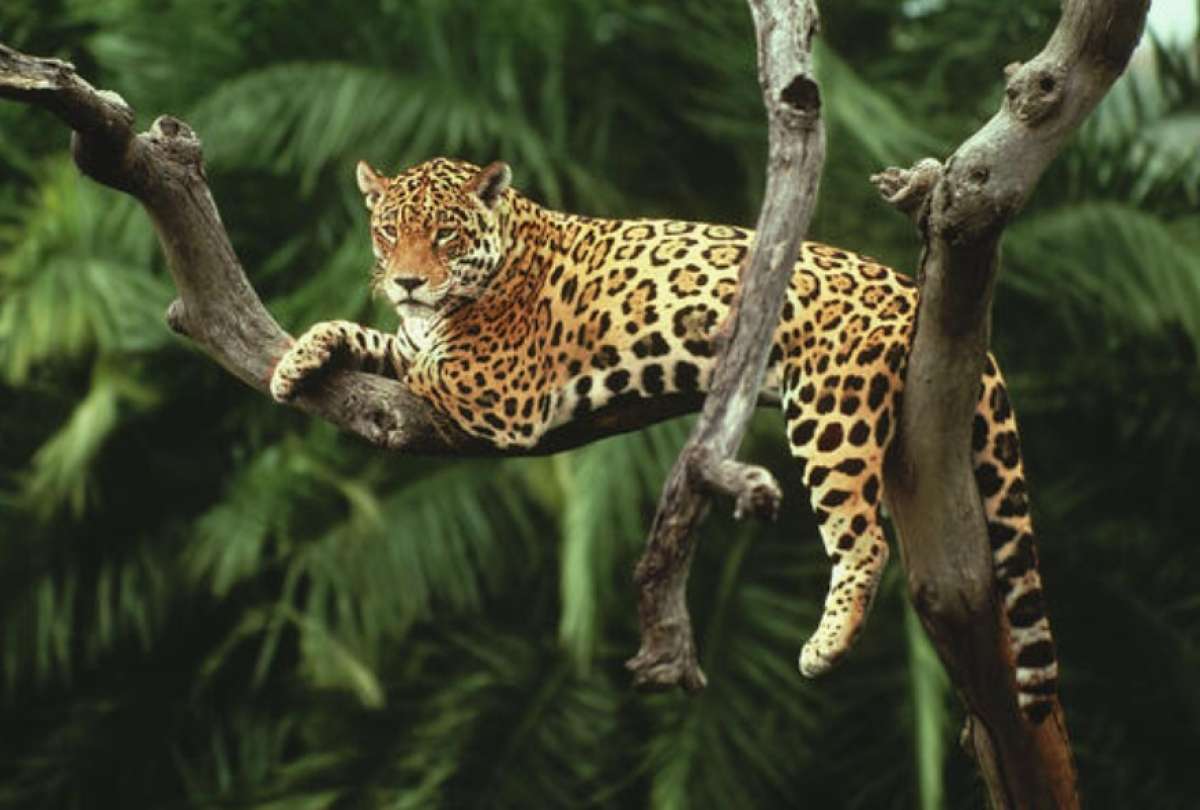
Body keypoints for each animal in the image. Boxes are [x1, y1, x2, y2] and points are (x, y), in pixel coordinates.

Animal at [270, 156, 1060, 722]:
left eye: (446, 235)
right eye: (387, 232)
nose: (406, 281)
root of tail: (911, 290)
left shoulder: (500, 389)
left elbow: (421, 359)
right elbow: (377, 338)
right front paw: (298, 358)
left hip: (830, 411)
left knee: (863, 539)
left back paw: (825, 646)